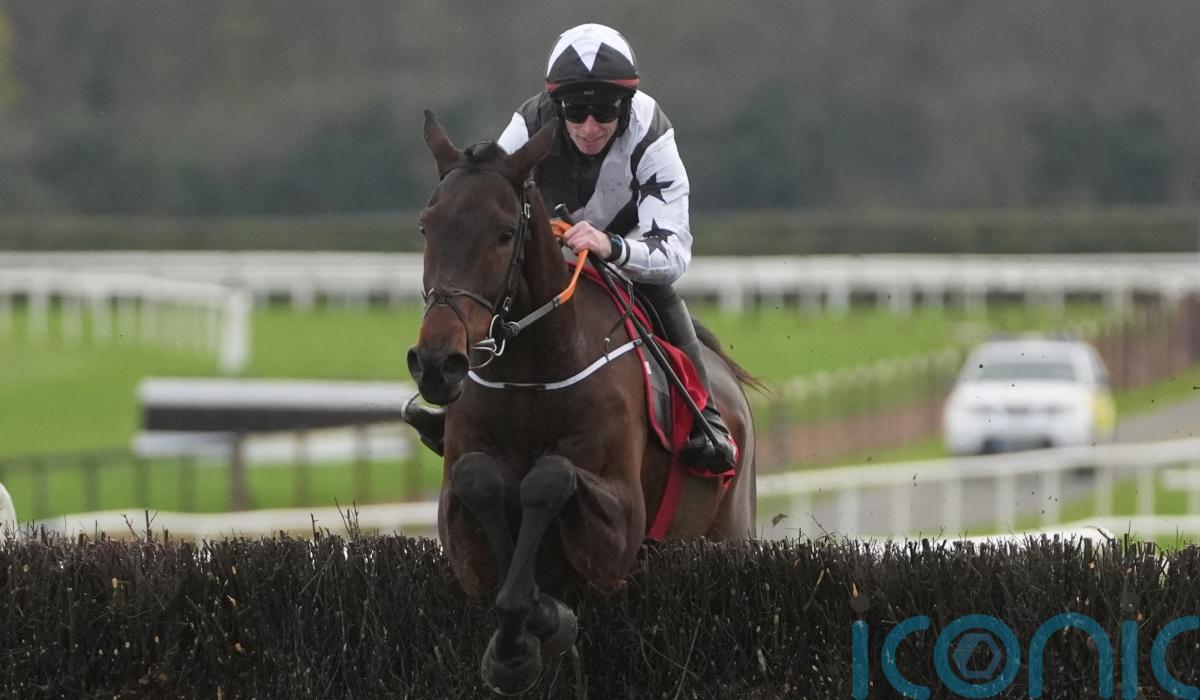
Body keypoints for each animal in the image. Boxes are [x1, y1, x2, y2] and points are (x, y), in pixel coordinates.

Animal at [409, 110, 757, 694]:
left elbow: (551, 476)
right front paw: (515, 643)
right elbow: (478, 480)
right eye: (426, 227)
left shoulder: (619, 532)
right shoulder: (458, 525)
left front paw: (540, 627)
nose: (438, 363)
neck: (531, 378)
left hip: (729, 533)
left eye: (505, 233)